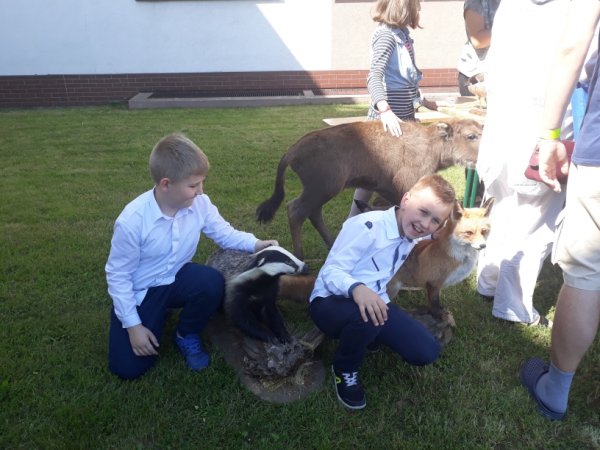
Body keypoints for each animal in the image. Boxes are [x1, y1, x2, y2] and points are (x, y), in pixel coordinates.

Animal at [256, 119, 483, 259]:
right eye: (471, 136)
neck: (432, 145)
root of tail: (293, 150)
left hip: (319, 192)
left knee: (312, 213)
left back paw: (331, 243)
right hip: (322, 189)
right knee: (296, 210)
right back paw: (300, 257)